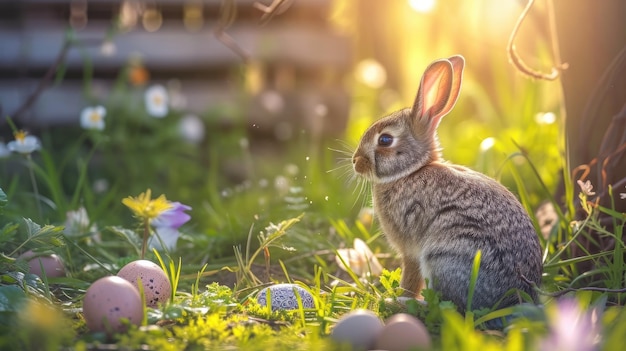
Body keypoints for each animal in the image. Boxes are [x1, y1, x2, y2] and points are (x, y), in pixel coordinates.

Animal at [352, 55, 540, 314]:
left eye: (385, 140)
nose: (355, 162)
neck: (411, 171)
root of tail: (515, 296)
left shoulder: (410, 250)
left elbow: (411, 278)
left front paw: (398, 296)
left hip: (444, 256)